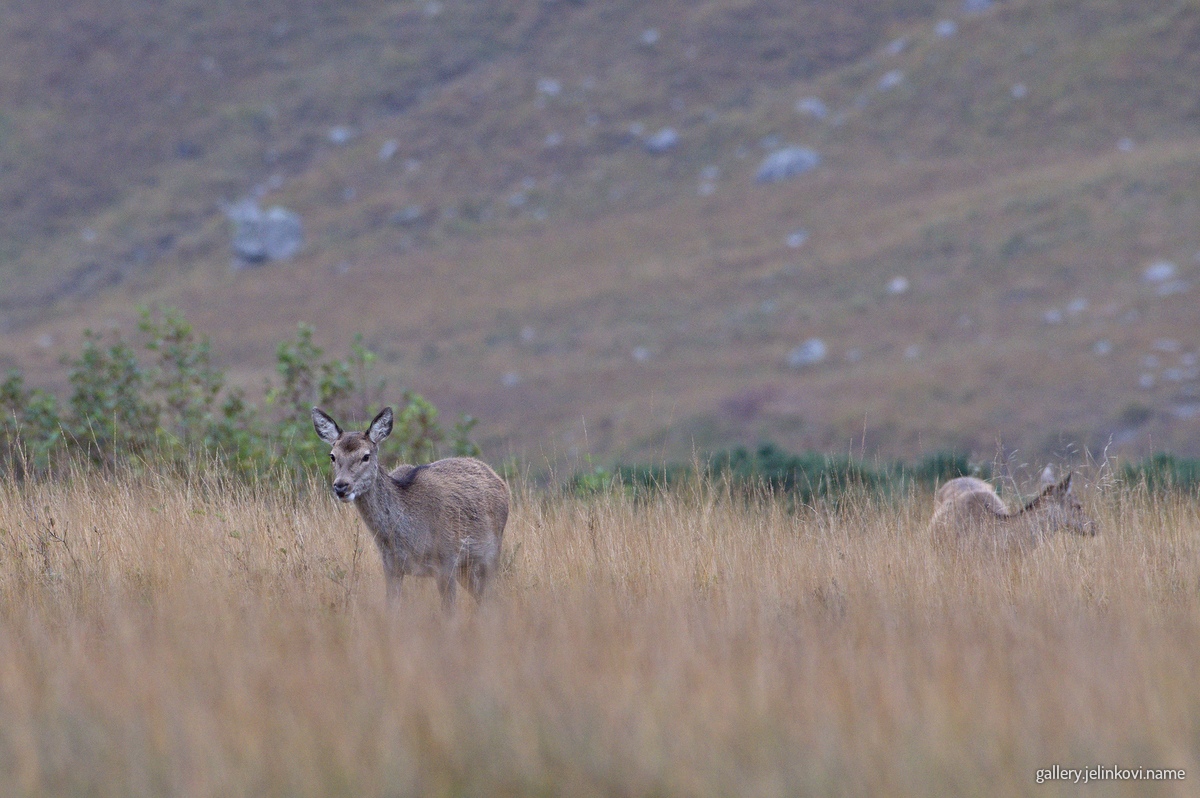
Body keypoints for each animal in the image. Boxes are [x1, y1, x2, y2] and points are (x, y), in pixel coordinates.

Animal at [312, 406, 509, 610]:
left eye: (366, 456)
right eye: (332, 456)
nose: (341, 486)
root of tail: (498, 479)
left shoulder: (446, 560)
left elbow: (449, 612)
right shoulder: (391, 566)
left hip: (491, 552)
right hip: (466, 567)